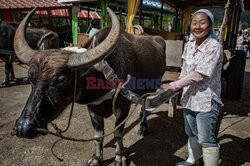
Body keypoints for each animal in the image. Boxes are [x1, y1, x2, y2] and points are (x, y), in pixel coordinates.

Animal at [13, 7, 166, 165]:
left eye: (60, 79)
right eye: (30, 78)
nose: (24, 126)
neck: (104, 77)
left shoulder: (123, 107)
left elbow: (118, 133)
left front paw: (120, 157)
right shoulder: (92, 108)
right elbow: (98, 136)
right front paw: (96, 158)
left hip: (153, 85)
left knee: (146, 103)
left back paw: (143, 127)